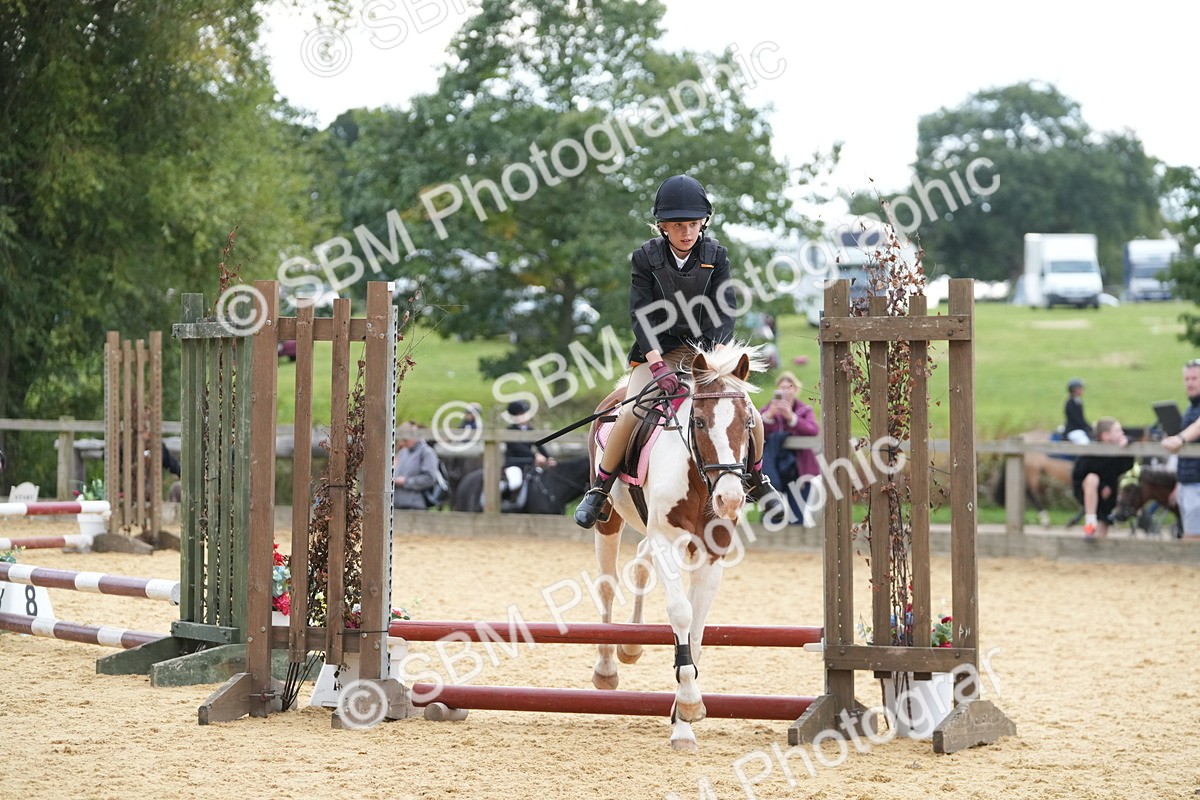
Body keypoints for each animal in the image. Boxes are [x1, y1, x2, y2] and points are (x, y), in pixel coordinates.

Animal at [588, 343, 766, 751]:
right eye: (698, 422)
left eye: (748, 422)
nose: (730, 499)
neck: (699, 475)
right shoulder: (667, 541)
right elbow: (681, 613)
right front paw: (687, 706)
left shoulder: (712, 551)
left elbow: (697, 629)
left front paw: (683, 717)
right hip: (609, 520)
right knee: (607, 585)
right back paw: (606, 667)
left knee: (640, 563)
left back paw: (630, 648)